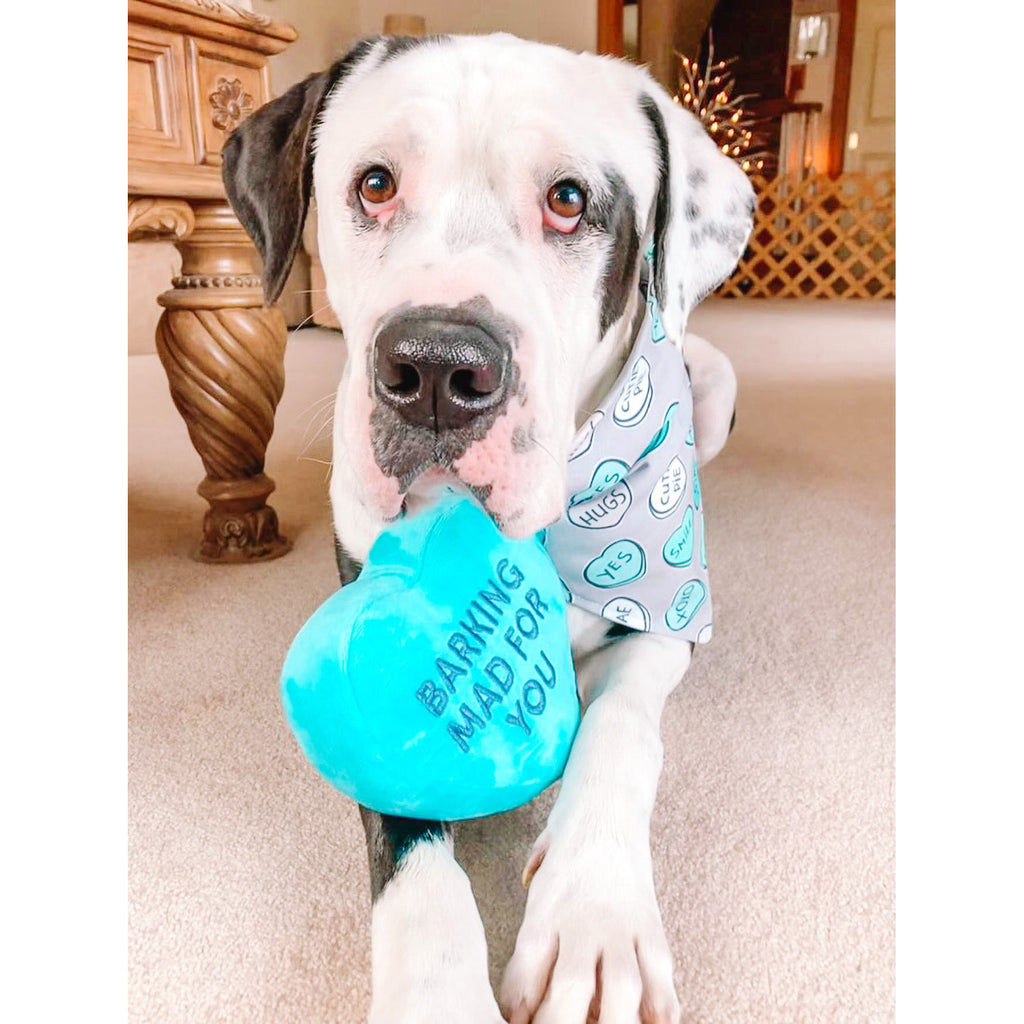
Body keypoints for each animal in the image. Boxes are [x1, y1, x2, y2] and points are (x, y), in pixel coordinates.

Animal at [222, 32, 753, 1024]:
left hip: (713, 387)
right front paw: (434, 987)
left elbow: (623, 725)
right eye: (375, 183)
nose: (435, 367)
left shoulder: (664, 619)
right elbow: (407, 842)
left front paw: (596, 915)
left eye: (569, 199)